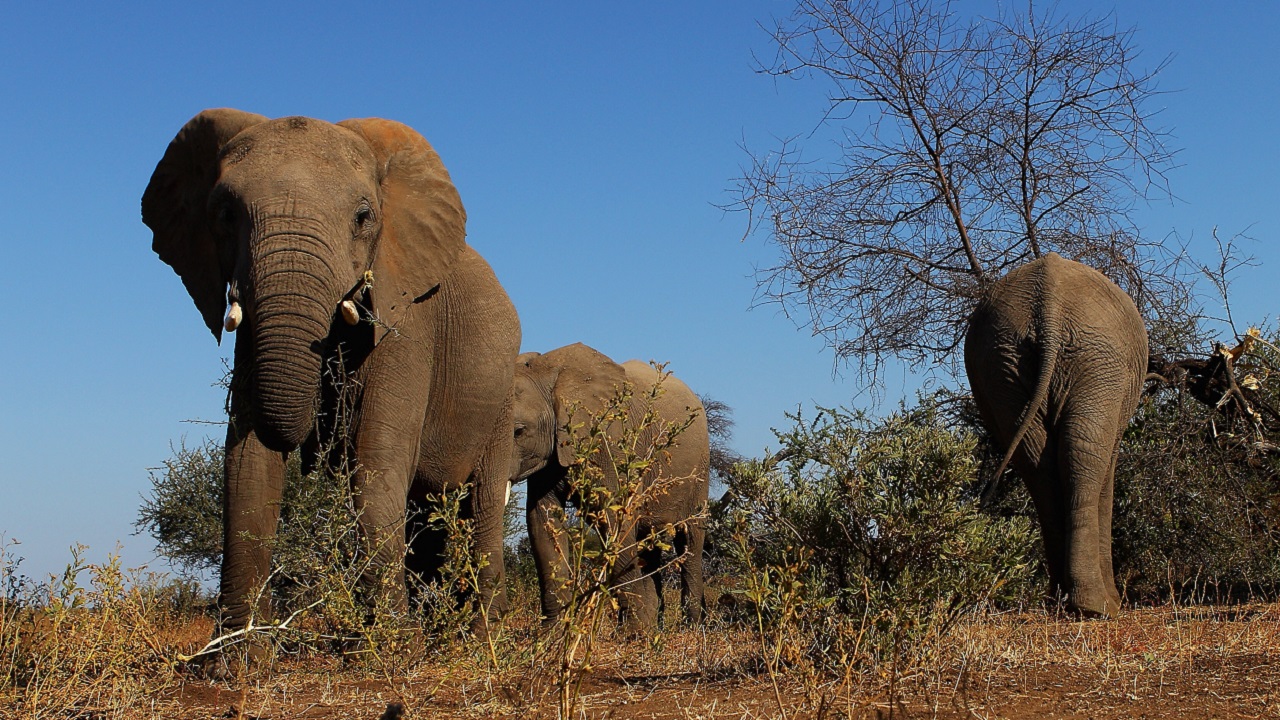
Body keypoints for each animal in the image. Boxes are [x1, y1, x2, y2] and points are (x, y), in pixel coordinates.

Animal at [141, 109, 521, 658]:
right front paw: (231, 661)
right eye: (224, 214)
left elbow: (376, 461)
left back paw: (475, 644)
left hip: (503, 398)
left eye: (364, 217)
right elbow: (247, 467)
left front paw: (391, 654)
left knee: (481, 506)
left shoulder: (408, 319)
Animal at [510, 343, 710, 631]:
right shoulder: (549, 454)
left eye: (518, 431)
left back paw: (691, 629)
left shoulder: (612, 446)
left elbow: (615, 519)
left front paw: (636, 634)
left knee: (689, 541)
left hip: (699, 470)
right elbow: (542, 521)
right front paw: (550, 635)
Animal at [964, 252, 1147, 617]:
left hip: (1002, 363)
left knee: (1039, 465)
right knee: (1084, 456)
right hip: (1099, 359)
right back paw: (1097, 608)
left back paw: (1063, 602)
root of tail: (1048, 305)